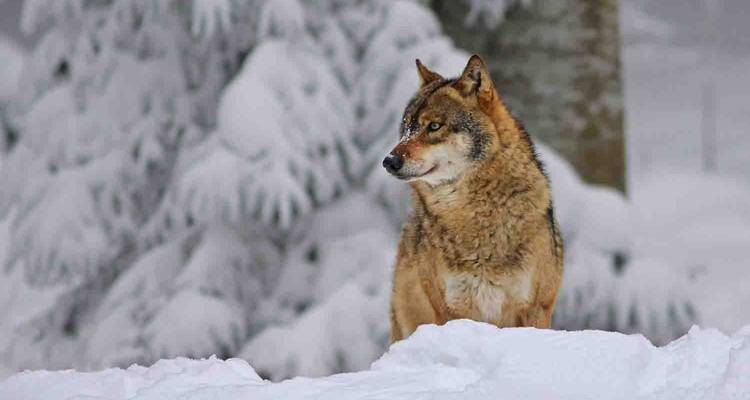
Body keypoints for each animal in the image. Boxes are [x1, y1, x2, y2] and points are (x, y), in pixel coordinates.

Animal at [383, 55, 563, 343]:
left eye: (434, 126)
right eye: (406, 127)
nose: (389, 161)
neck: (476, 217)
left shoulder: (535, 309)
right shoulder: (452, 310)